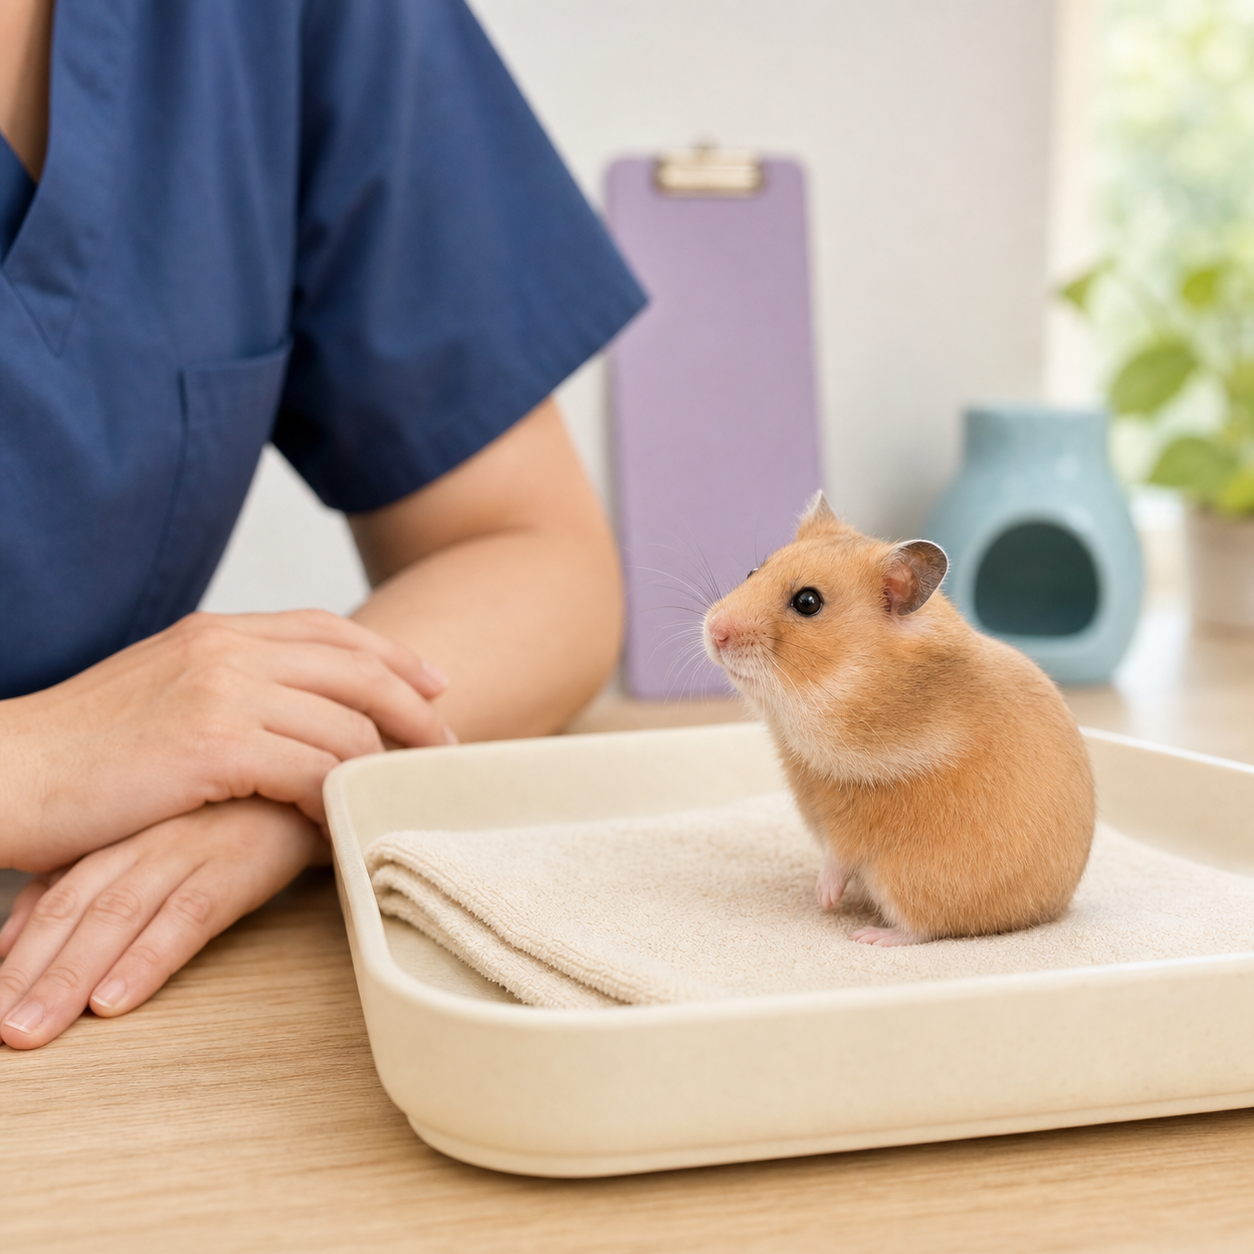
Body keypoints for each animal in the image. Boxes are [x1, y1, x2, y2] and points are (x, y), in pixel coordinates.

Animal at [703, 492, 1095, 946]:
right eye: (754, 570)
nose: (714, 631)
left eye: (807, 602)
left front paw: (824, 899)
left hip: (910, 879)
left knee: (926, 928)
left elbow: (840, 854)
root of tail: (1051, 910)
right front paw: (824, 898)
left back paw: (872, 936)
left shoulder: (864, 806)